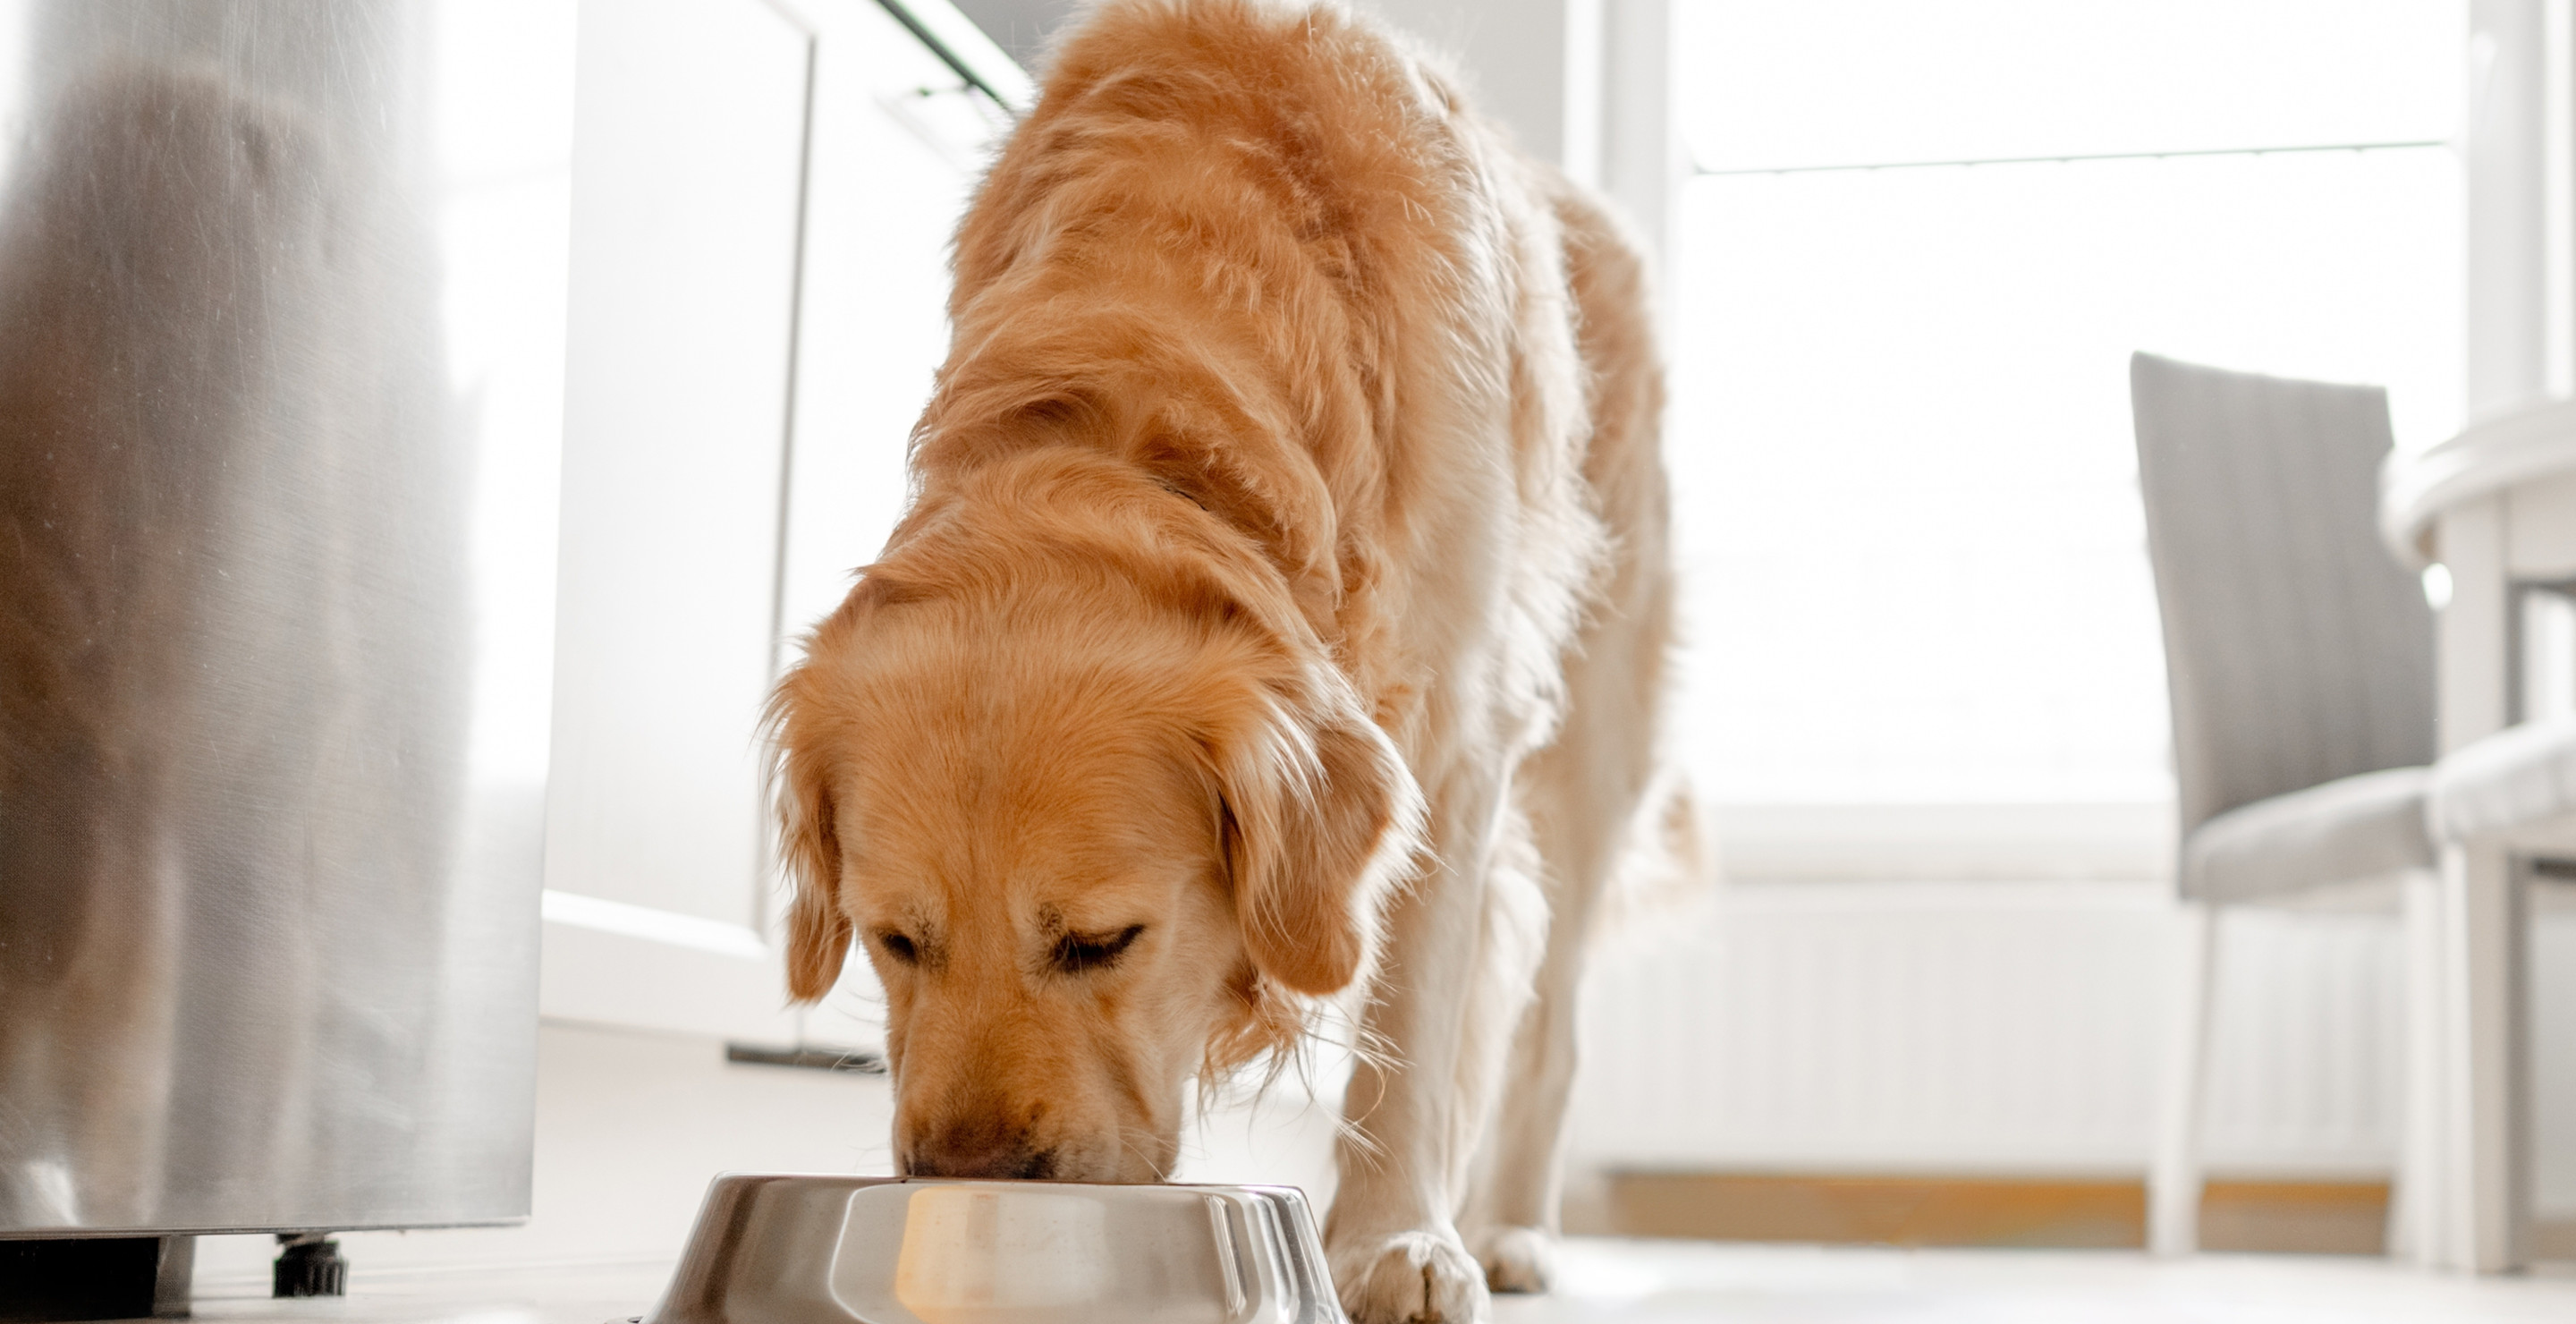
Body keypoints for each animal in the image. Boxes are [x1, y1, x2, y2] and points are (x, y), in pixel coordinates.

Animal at [762, 4, 1679, 1313]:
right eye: (894, 940)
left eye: (1102, 942)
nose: (969, 1176)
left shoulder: (1460, 732)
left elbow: (1414, 1027)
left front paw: (1394, 1243)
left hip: (1594, 741)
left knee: (1548, 1022)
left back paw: (1510, 1230)